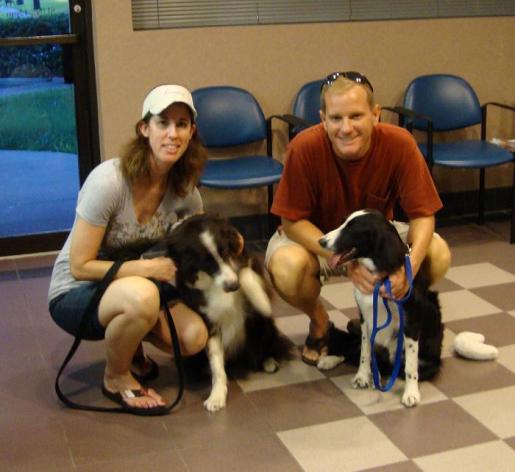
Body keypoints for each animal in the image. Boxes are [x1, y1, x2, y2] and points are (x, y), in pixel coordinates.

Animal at [167, 212, 292, 412]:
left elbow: (244, 273)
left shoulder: (252, 267)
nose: (233, 287)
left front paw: (262, 302)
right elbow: (217, 365)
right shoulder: (209, 323)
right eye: (206, 262)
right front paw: (216, 396)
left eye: (225, 252)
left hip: (264, 329)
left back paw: (269, 361)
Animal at [318, 209, 444, 406]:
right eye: (343, 222)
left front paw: (411, 393)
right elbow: (364, 351)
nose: (321, 241)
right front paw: (362, 377)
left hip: (430, 361)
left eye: (352, 229)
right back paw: (329, 360)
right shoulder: (364, 316)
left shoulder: (411, 322)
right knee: (354, 349)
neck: (379, 276)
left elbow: (410, 365)